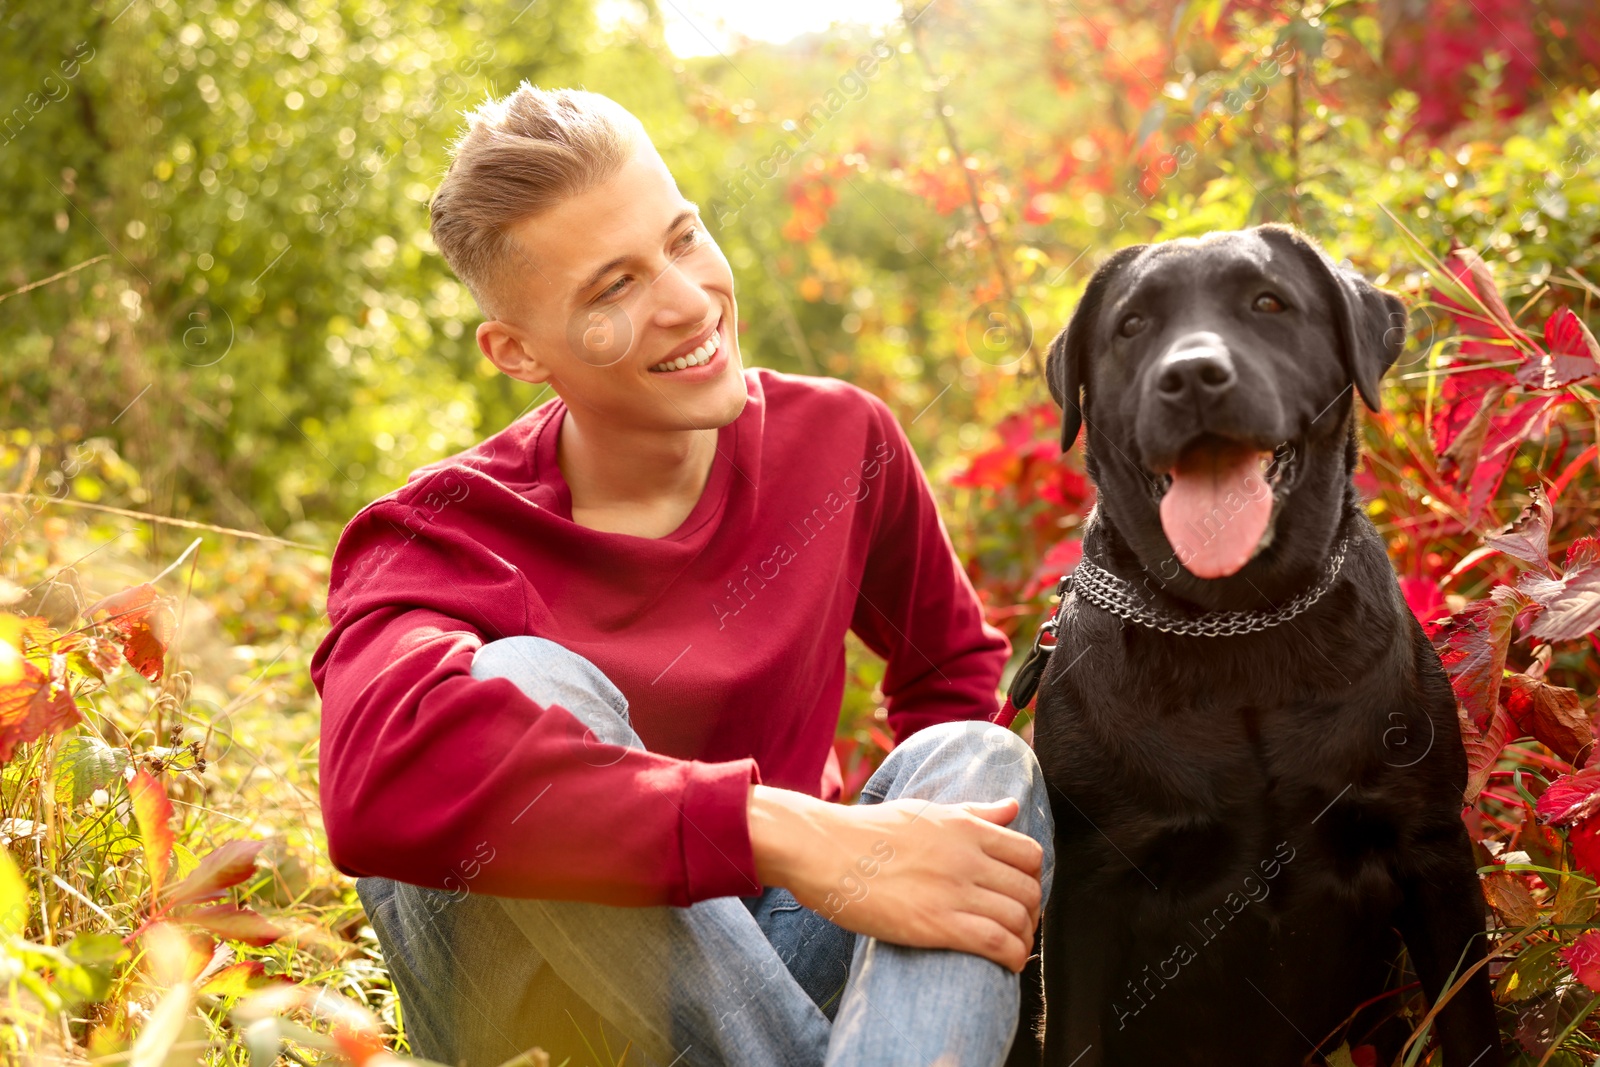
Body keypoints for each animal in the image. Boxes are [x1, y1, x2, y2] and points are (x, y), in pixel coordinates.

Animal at [1011, 220, 1497, 1062]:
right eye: (1132, 325)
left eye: (1268, 302)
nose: (1193, 376)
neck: (1238, 626)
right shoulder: (1090, 887)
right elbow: (1074, 1038)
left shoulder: (1433, 850)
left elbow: (1472, 1026)